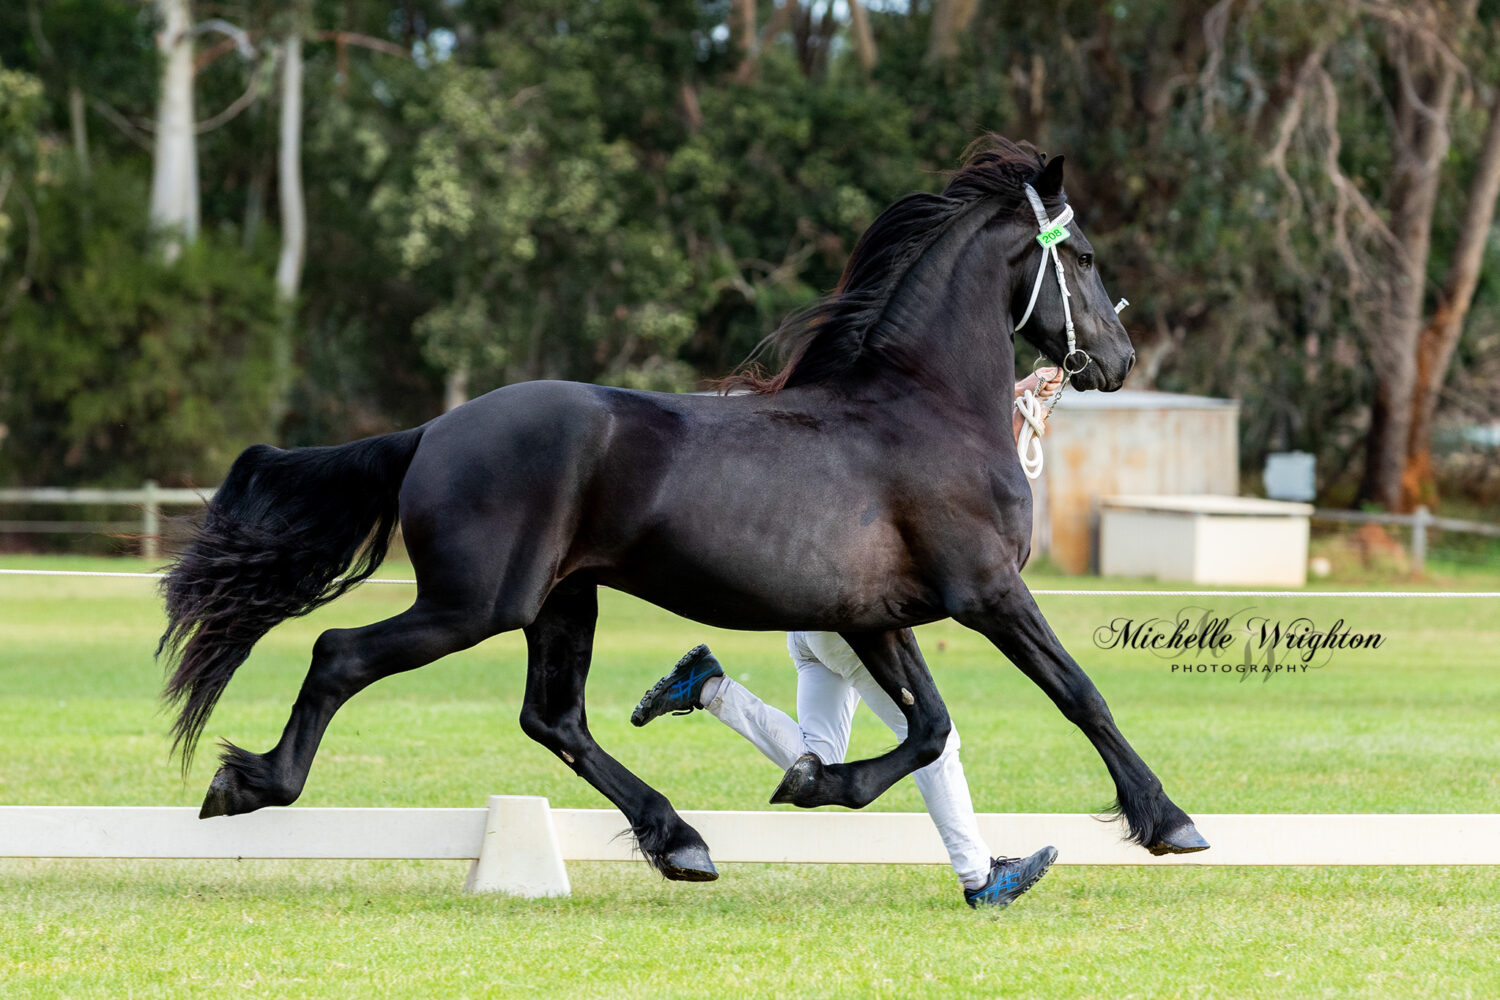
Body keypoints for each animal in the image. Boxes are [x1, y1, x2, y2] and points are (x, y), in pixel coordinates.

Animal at [158, 137, 1206, 881]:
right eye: (1083, 255)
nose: (1118, 361)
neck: (925, 407)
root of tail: (432, 433)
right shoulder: (985, 592)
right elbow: (1077, 694)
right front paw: (1170, 822)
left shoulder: (876, 615)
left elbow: (932, 729)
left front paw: (815, 779)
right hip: (474, 605)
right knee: (341, 655)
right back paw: (247, 783)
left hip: (561, 602)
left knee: (554, 720)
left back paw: (679, 838)